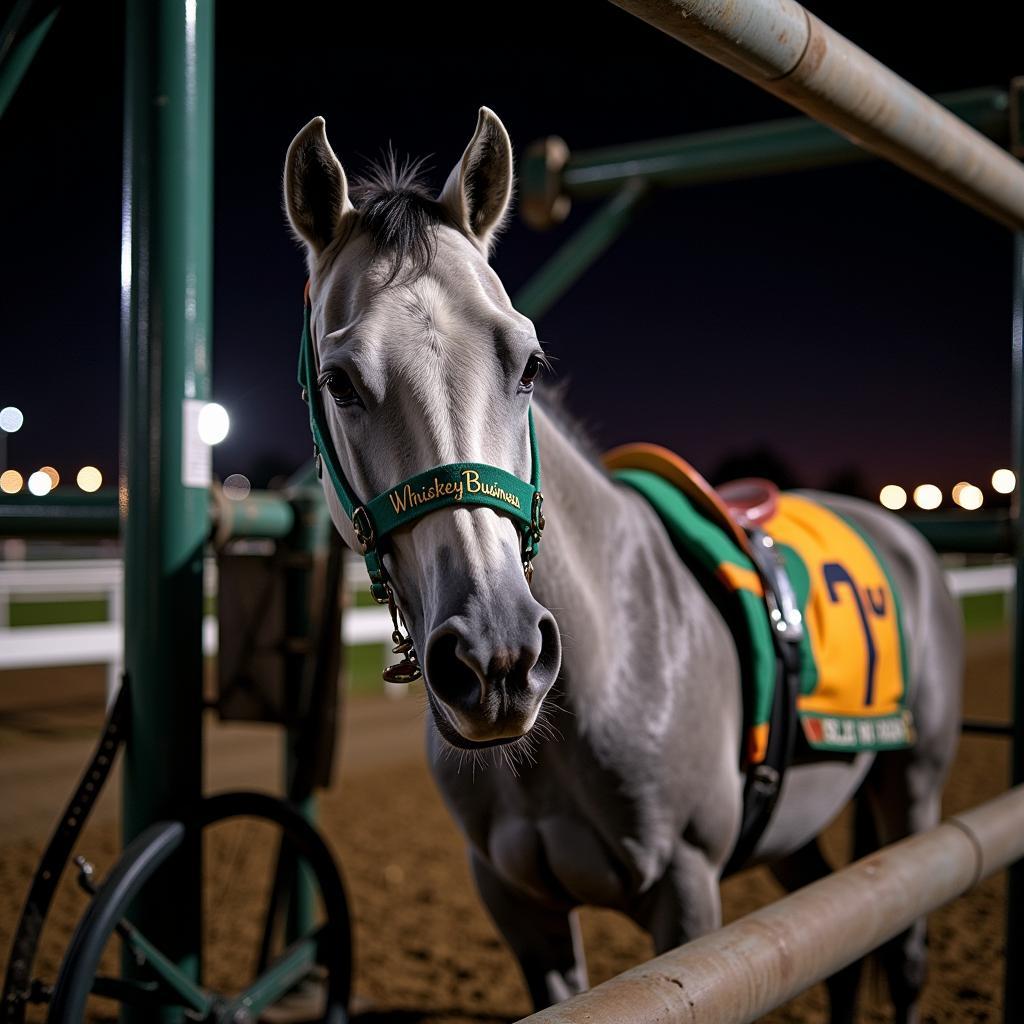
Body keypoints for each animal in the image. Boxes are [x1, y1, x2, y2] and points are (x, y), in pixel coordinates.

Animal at [284, 108, 962, 1019]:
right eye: (340, 381)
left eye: (528, 363)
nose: (499, 658)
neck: (616, 651)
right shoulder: (518, 906)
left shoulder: (688, 896)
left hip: (913, 791)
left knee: (905, 952)